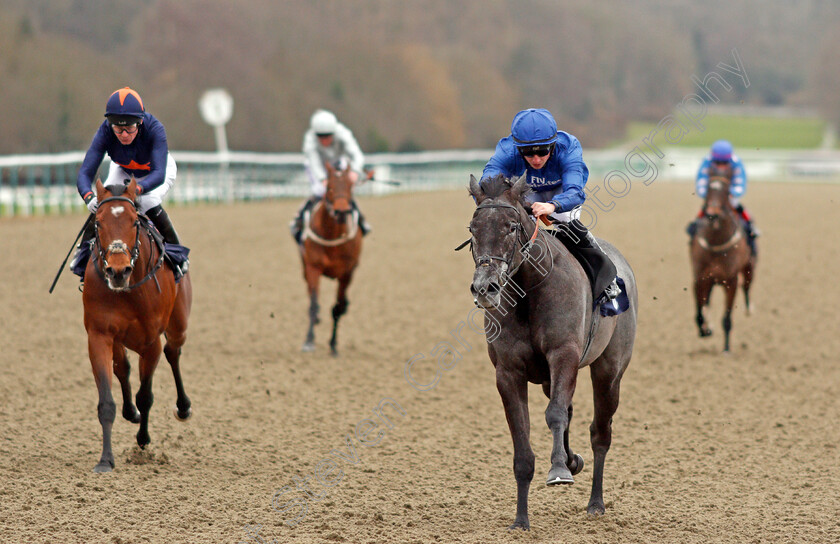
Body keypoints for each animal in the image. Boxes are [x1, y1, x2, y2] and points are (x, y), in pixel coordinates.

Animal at [466, 173, 636, 528]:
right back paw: (573, 461)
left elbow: (555, 413)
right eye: (472, 228)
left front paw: (559, 469)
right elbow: (522, 440)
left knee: (600, 432)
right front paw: (521, 519)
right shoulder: (508, 372)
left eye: (511, 226)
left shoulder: (564, 355)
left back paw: (596, 502)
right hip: (547, 378)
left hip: (609, 370)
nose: (485, 287)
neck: (528, 291)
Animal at [688, 167, 756, 352]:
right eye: (708, 188)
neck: (716, 240)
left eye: (726, 190)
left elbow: (727, 318)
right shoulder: (701, 277)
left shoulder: (730, 281)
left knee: (747, 286)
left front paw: (726, 349)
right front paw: (705, 329)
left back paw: (749, 309)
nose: (712, 214)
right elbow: (699, 311)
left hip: (750, 267)